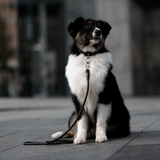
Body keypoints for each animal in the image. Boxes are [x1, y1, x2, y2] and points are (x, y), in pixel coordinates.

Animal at [52, 17, 131, 145]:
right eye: (87, 26)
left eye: (100, 26)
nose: (98, 31)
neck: (88, 55)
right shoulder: (79, 100)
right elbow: (81, 121)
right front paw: (80, 138)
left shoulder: (104, 96)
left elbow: (101, 120)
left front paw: (101, 136)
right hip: (73, 115)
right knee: (72, 129)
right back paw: (60, 134)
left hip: (123, 115)